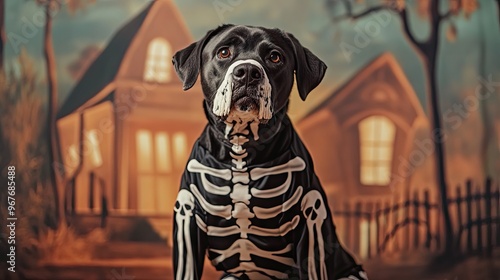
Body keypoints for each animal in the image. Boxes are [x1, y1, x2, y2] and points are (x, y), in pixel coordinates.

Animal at [173, 24, 368, 280]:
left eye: (275, 57)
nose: (247, 71)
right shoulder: (186, 216)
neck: (241, 148)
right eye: (224, 52)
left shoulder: (310, 218)